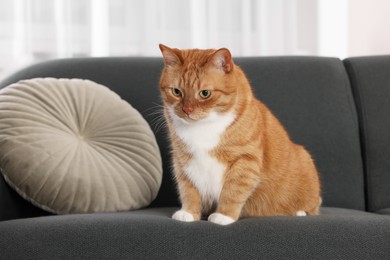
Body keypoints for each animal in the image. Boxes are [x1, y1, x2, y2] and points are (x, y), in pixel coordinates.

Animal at [158, 43, 320, 224]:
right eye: (176, 91)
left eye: (205, 93)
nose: (187, 110)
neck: (202, 128)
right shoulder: (182, 161)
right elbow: (188, 189)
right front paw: (189, 212)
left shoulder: (245, 161)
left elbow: (232, 192)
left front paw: (224, 216)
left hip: (304, 159)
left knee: (313, 207)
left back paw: (299, 212)